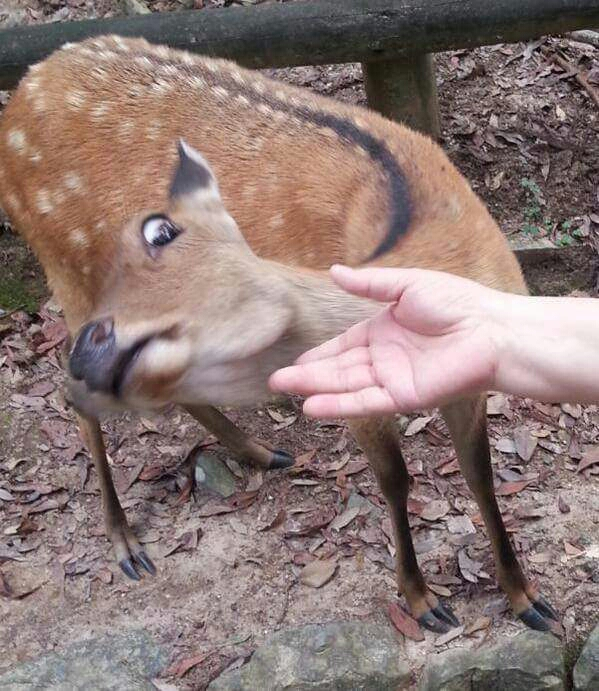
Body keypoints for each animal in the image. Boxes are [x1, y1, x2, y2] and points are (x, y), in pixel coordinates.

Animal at [0, 35, 560, 635]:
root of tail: (24, 91)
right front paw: (422, 601)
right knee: (75, 400)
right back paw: (125, 541)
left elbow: (481, 476)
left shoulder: (468, 380)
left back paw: (260, 452)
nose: (95, 353)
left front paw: (528, 598)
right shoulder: (353, 388)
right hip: (64, 267)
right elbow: (396, 480)